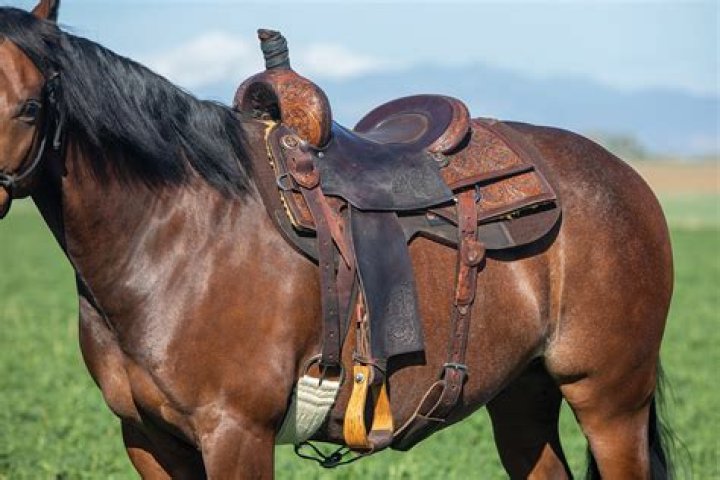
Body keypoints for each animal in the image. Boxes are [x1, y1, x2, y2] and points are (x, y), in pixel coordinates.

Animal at [0, 1, 674, 478]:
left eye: (31, 107)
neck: (175, 237)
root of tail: (626, 176)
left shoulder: (236, 434)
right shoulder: (146, 438)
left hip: (610, 401)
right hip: (522, 395)